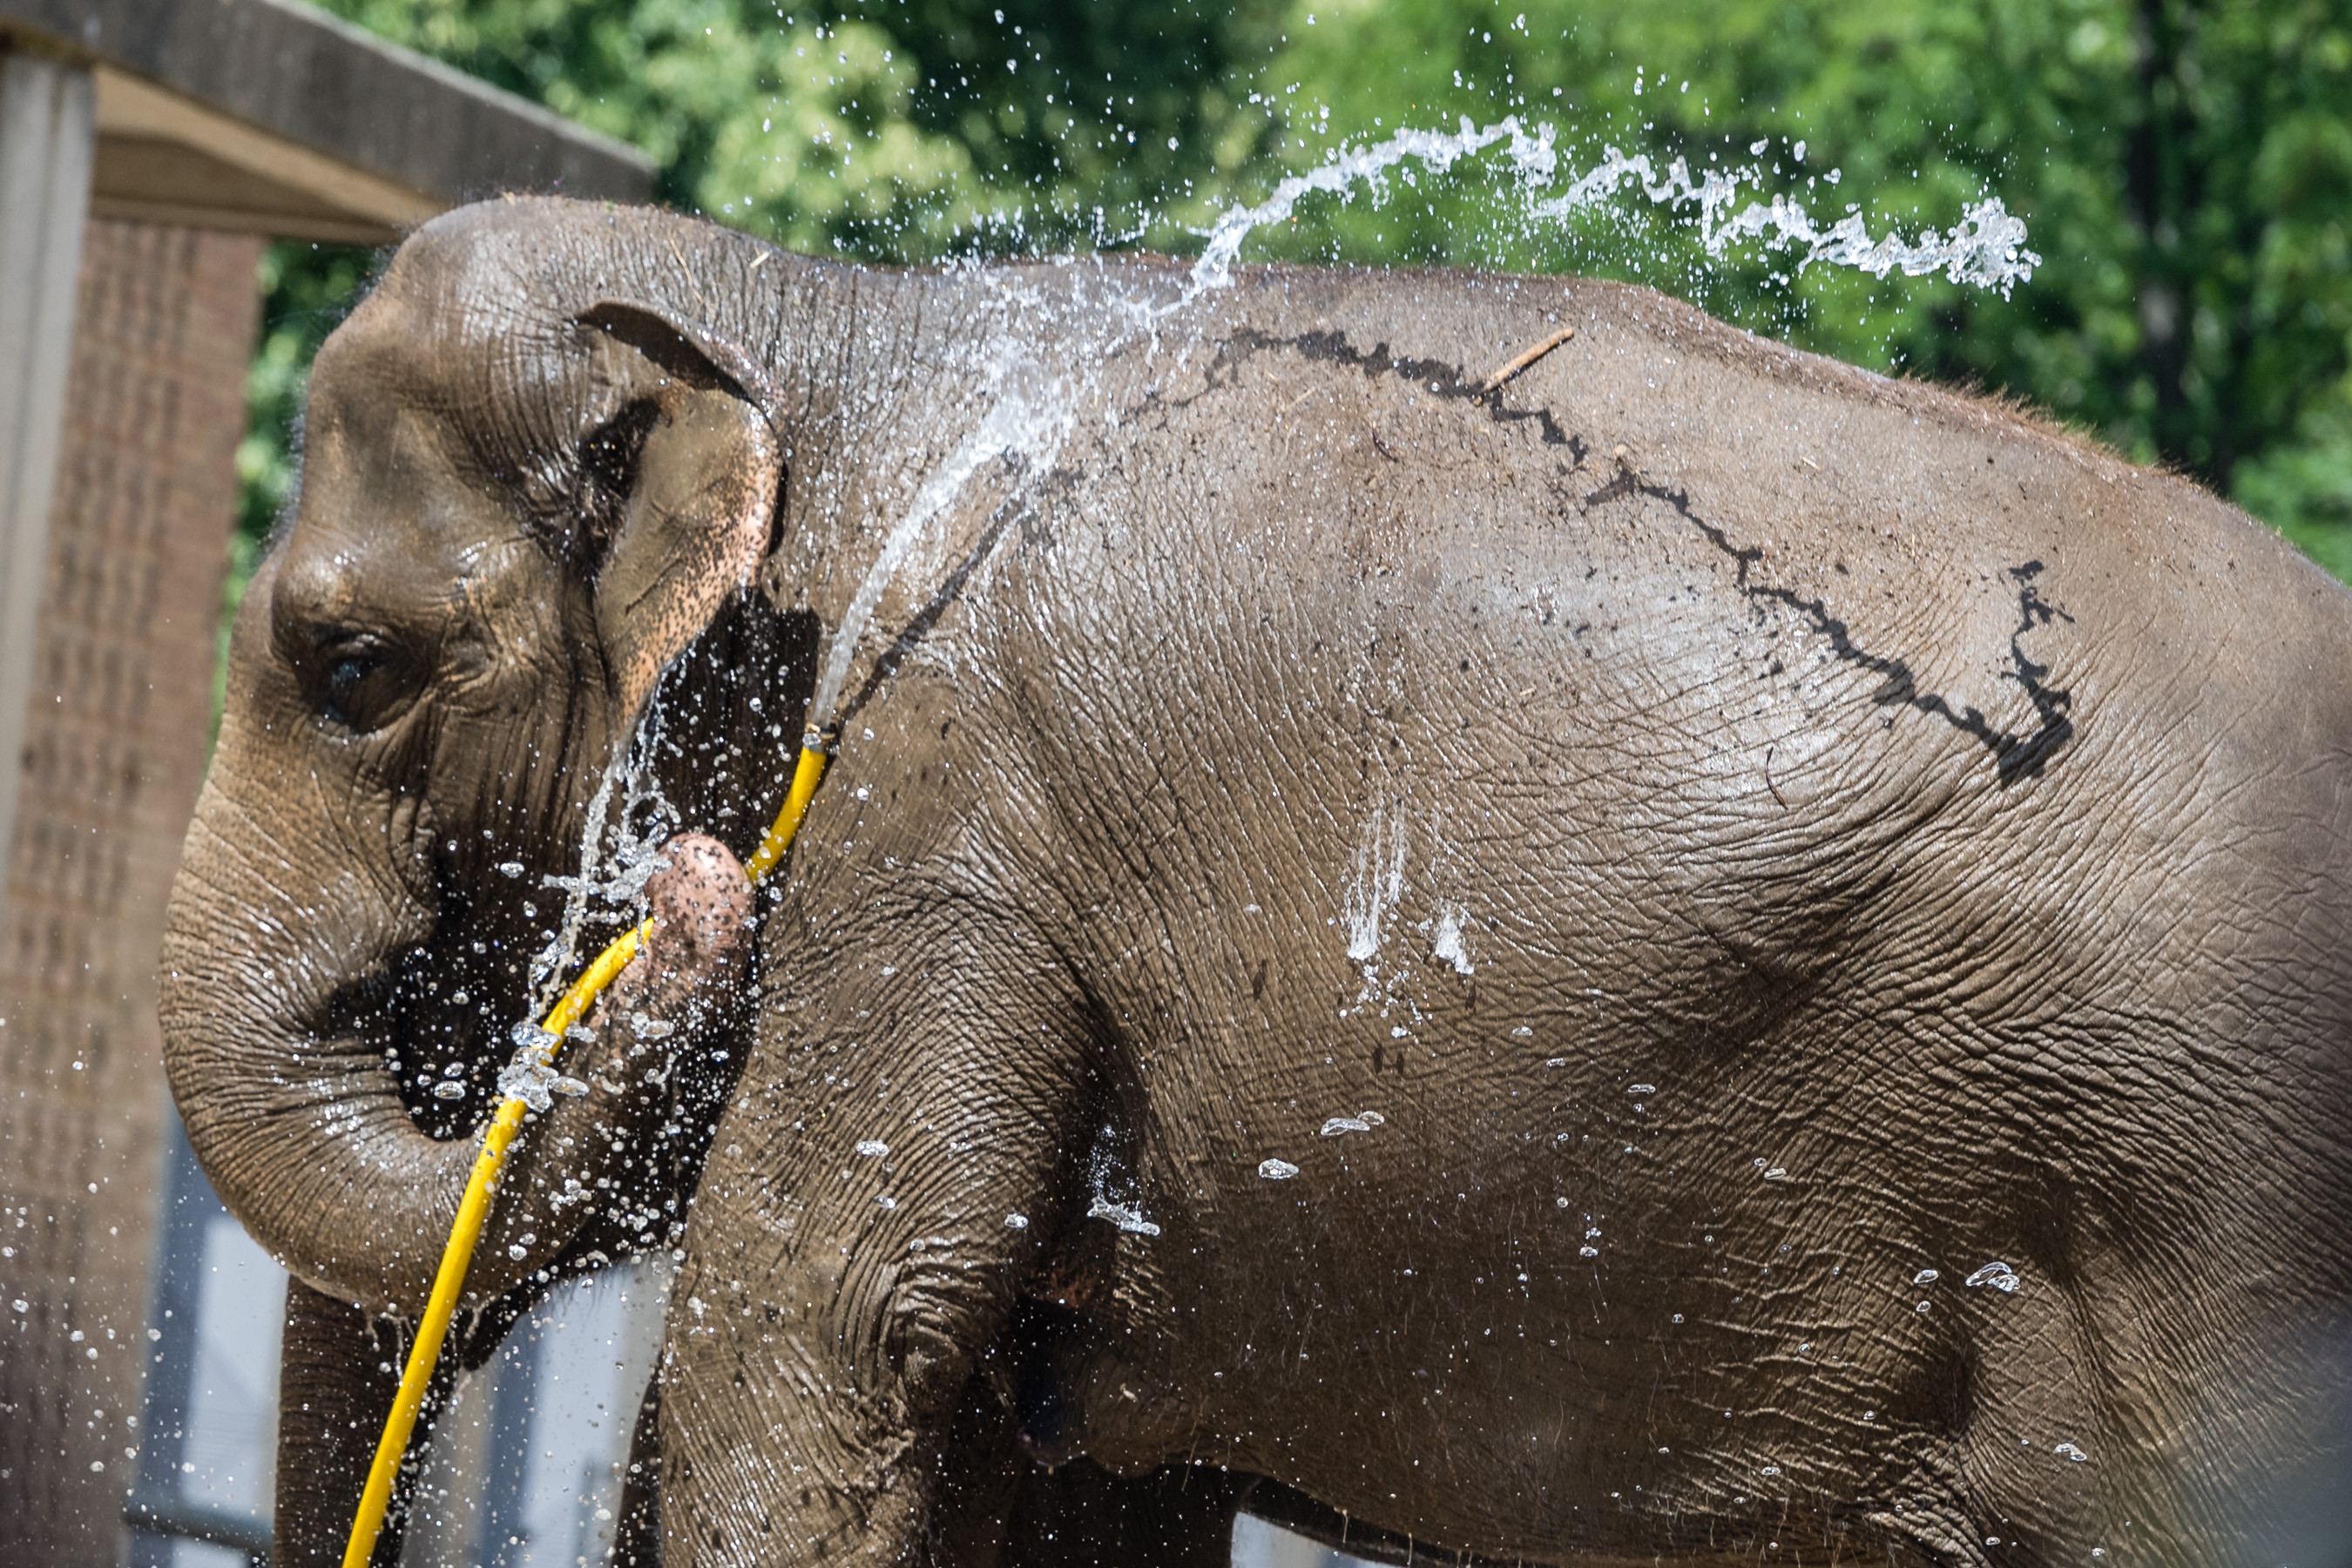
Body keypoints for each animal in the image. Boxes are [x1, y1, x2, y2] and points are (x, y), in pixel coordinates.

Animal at [160, 199, 2352, 1568]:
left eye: (349, 669)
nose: (694, 905)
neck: (828, 330)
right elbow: (1032, 1460)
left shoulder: (933, 816)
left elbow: (808, 1339)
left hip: (2220, 1242)